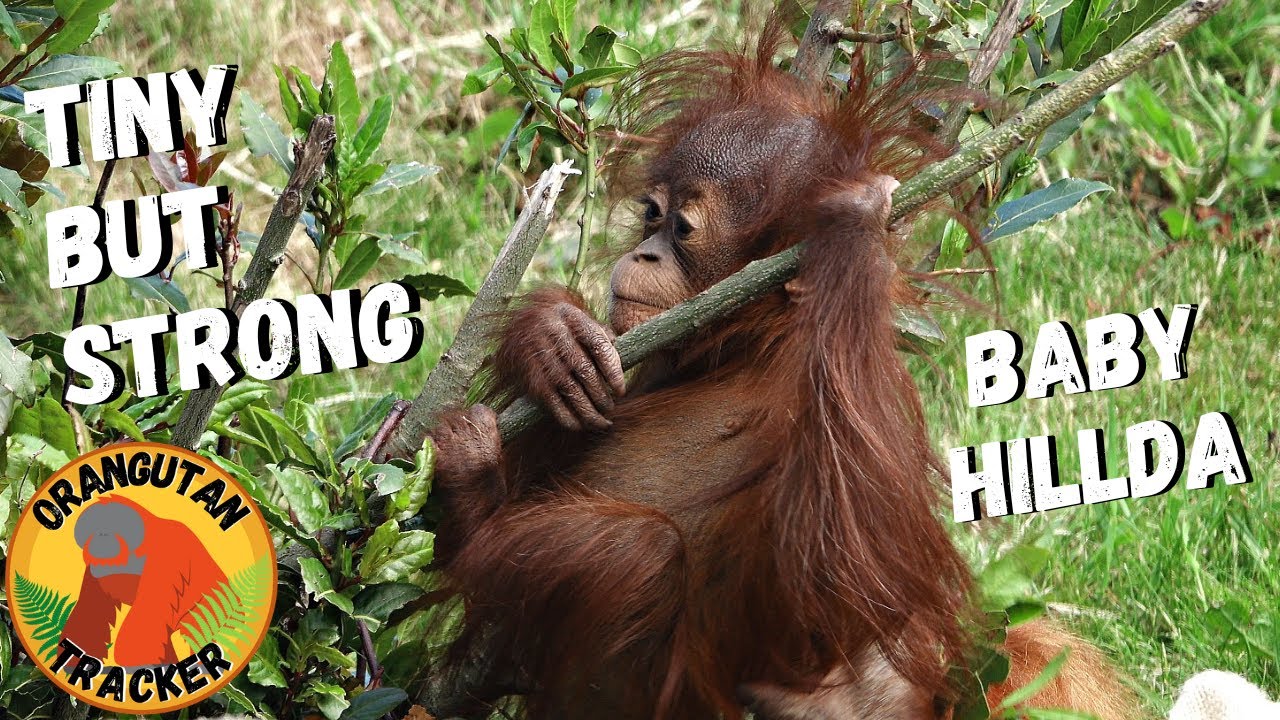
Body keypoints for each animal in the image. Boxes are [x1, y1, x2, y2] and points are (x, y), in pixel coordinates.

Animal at [423, 15, 1141, 720]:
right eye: (651, 214)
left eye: (683, 229)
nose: (645, 253)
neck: (749, 351)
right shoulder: (648, 363)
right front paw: (553, 338)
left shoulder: (860, 393)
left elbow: (841, 569)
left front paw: (854, 223)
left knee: (644, 556)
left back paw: (475, 505)